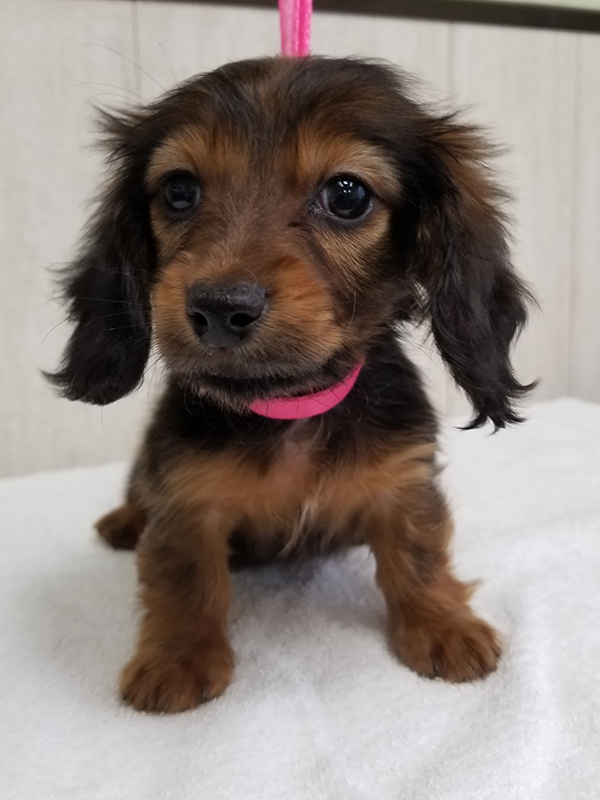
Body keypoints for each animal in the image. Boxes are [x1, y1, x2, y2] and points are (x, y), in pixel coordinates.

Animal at [48, 56, 533, 713]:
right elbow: (184, 576)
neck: (289, 406)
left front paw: (442, 625)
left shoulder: (403, 479)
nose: (219, 308)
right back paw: (124, 521)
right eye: (178, 190)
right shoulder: (185, 496)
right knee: (137, 492)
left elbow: (419, 553)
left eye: (348, 195)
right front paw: (178, 658)